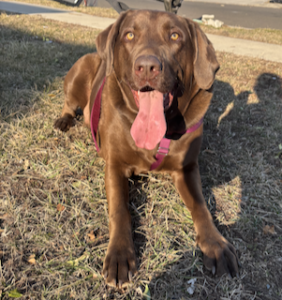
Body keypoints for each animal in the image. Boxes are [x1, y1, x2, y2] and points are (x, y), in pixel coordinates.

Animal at [54, 9, 238, 288]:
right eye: (130, 35)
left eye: (175, 36)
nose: (148, 67)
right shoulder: (115, 166)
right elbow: (120, 209)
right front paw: (120, 255)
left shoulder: (187, 168)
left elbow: (201, 206)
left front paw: (216, 244)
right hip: (79, 72)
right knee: (69, 101)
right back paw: (64, 119)